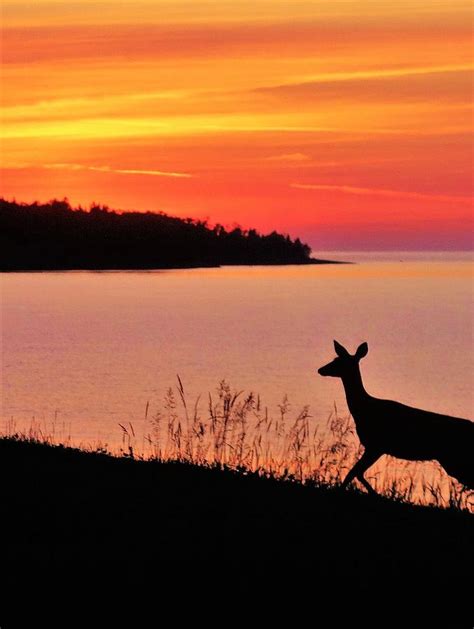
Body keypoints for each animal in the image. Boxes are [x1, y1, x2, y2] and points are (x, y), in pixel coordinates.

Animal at [318, 340, 474, 494]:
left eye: (338, 361)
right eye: (335, 359)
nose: (320, 369)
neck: (364, 410)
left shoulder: (376, 445)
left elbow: (353, 473)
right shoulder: (375, 447)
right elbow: (356, 473)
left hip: (455, 458)